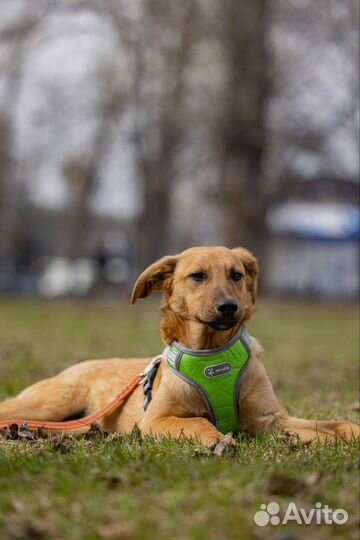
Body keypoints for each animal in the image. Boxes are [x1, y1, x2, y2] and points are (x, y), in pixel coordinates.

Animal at [0, 247, 360, 446]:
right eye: (197, 276)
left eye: (237, 275)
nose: (229, 307)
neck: (212, 354)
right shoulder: (155, 420)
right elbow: (199, 422)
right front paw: (217, 441)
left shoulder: (269, 420)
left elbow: (332, 425)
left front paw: (351, 431)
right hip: (49, 404)